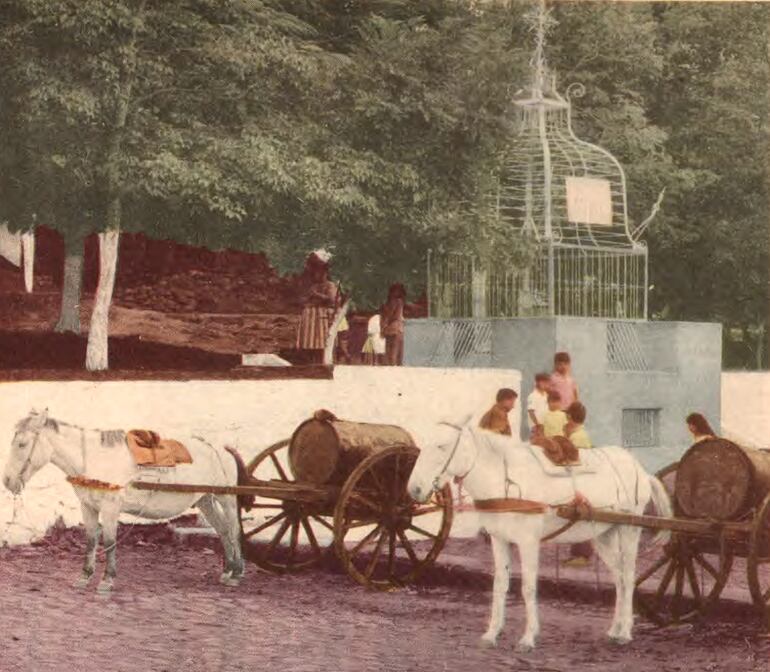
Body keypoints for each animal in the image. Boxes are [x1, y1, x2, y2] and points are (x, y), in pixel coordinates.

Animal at [2, 410, 246, 592]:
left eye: (22, 444)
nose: (7, 481)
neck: (95, 459)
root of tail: (219, 447)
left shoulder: (111, 507)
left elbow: (110, 541)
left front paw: (107, 580)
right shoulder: (88, 507)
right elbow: (91, 539)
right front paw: (85, 576)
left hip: (226, 498)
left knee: (234, 530)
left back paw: (237, 573)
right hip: (205, 499)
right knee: (223, 530)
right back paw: (227, 571)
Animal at [408, 426, 664, 652]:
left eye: (441, 446)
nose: (414, 489)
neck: (506, 480)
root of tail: (639, 468)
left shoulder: (528, 542)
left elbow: (528, 588)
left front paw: (528, 637)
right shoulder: (499, 540)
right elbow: (500, 585)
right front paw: (492, 634)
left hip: (629, 529)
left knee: (628, 578)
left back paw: (625, 632)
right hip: (604, 535)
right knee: (619, 579)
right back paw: (614, 629)